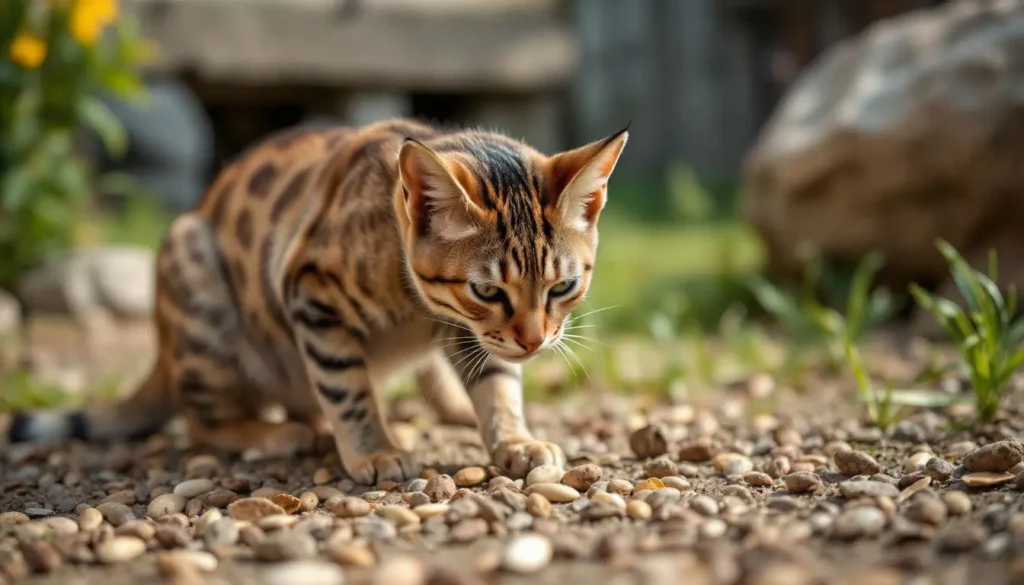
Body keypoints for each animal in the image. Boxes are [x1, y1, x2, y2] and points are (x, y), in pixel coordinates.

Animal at [8, 116, 626, 483]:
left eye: (563, 287)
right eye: (487, 290)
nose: (534, 340)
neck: (416, 306)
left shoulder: (467, 331)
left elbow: (497, 385)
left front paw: (517, 440)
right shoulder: (310, 293)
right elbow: (346, 387)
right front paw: (374, 450)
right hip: (198, 285)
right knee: (202, 420)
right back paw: (275, 433)